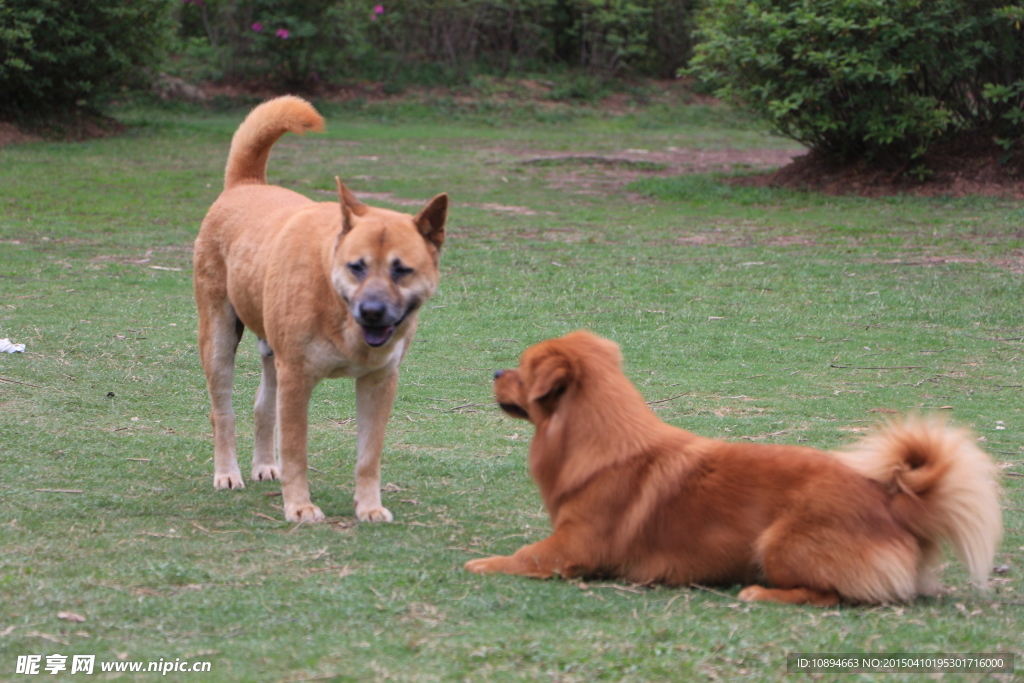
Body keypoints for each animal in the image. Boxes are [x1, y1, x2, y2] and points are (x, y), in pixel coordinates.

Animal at [193, 94, 446, 524]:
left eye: (402, 270)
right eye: (357, 266)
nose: (373, 311)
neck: (336, 306)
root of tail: (247, 184)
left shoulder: (379, 382)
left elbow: (369, 456)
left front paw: (369, 507)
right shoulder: (297, 379)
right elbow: (296, 451)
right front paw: (299, 506)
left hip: (270, 351)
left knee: (262, 407)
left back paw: (265, 465)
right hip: (220, 338)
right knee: (222, 411)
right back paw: (228, 473)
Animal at [468, 333, 1003, 606]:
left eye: (520, 370)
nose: (493, 371)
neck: (593, 437)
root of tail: (892, 503)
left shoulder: (573, 546)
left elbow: (524, 557)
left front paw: (483, 563)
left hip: (777, 542)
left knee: (830, 594)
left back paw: (760, 593)